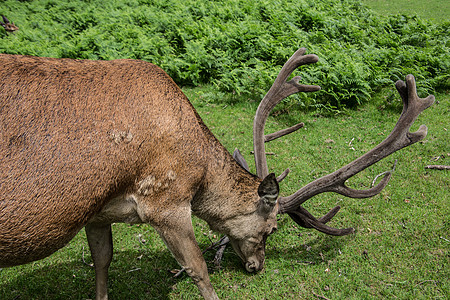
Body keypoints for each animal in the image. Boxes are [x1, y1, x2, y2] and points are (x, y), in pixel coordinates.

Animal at [0, 48, 434, 298]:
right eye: (270, 229)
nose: (258, 267)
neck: (201, 169)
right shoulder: (166, 198)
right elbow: (199, 269)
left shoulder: (97, 209)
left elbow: (102, 262)